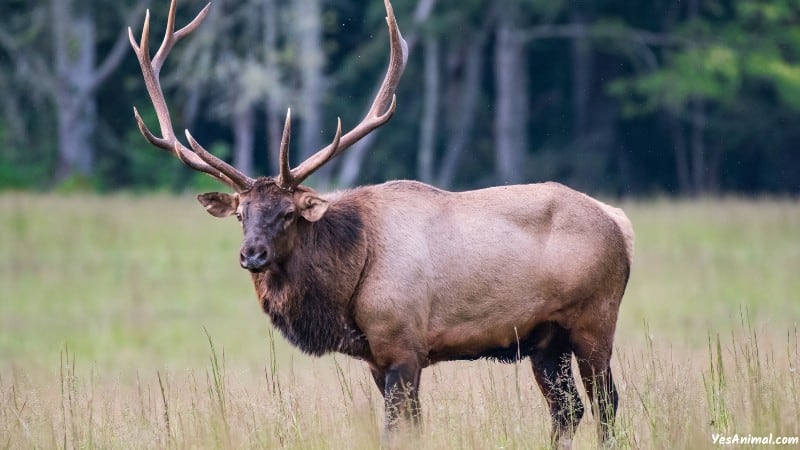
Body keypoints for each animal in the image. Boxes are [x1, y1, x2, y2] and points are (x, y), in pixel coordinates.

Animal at [128, 1, 636, 448]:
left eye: (289, 213)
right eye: (241, 214)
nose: (252, 255)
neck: (347, 285)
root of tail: (620, 222)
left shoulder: (404, 346)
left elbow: (396, 431)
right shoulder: (377, 359)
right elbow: (411, 429)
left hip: (595, 318)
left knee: (607, 405)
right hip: (545, 339)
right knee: (567, 409)